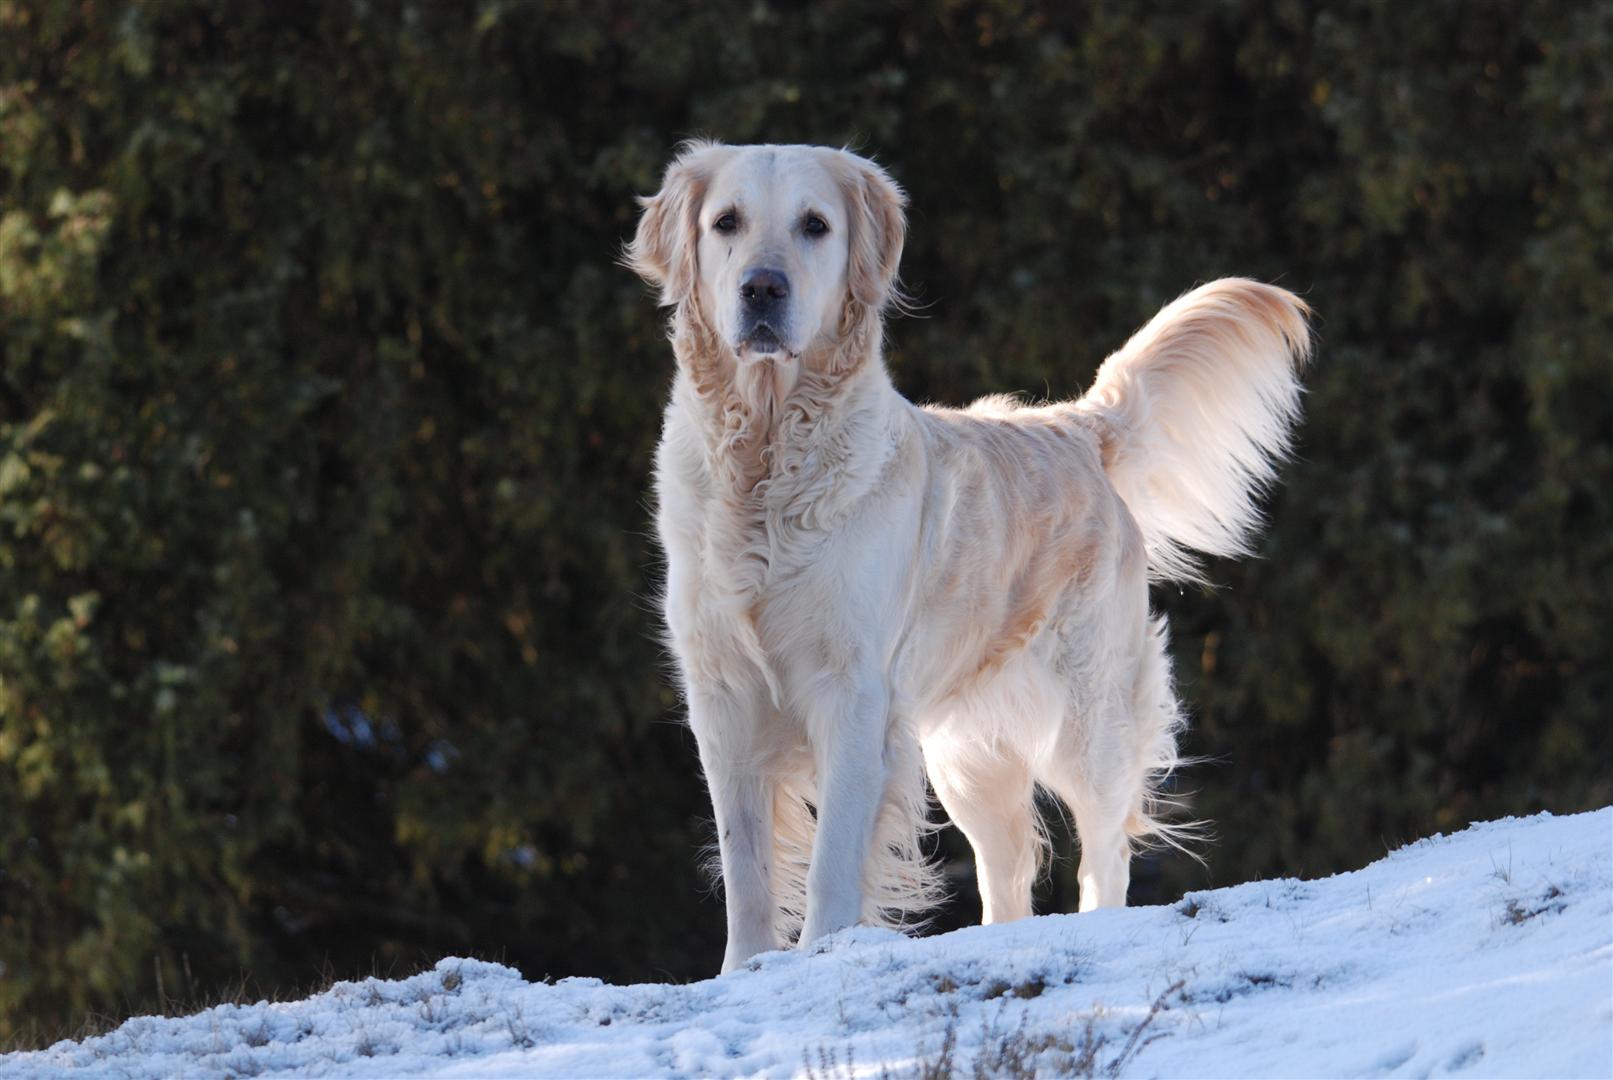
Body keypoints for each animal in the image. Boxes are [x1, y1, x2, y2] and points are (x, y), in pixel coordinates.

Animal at [627, 142, 1311, 973]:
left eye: (814, 225)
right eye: (726, 222)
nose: (762, 287)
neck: (765, 454)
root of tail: (1073, 423)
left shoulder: (852, 692)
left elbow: (832, 858)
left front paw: (824, 952)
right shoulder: (721, 695)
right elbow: (746, 864)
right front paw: (745, 971)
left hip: (1088, 716)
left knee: (1105, 847)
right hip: (967, 753)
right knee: (1008, 865)